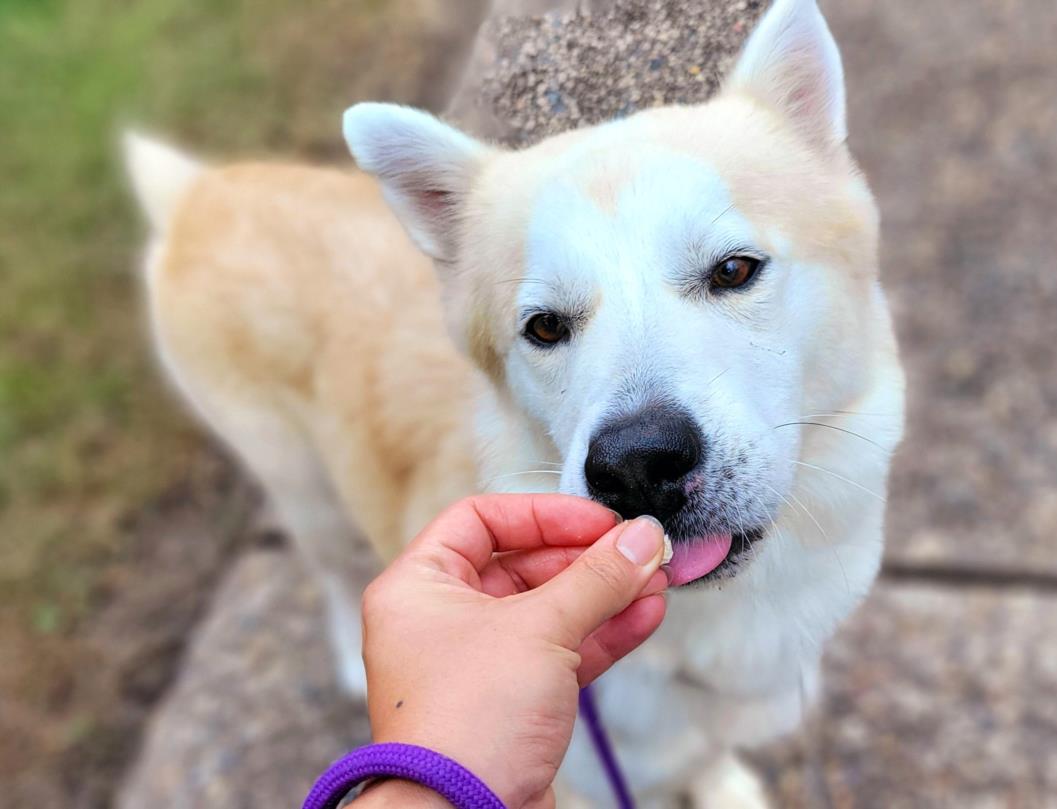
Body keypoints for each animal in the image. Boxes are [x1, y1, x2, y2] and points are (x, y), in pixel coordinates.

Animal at [123, 1, 900, 803]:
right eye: (545, 327)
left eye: (734, 270)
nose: (637, 465)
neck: (722, 620)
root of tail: (199, 192)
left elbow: (710, 759)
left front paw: (723, 784)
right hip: (302, 485)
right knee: (331, 571)